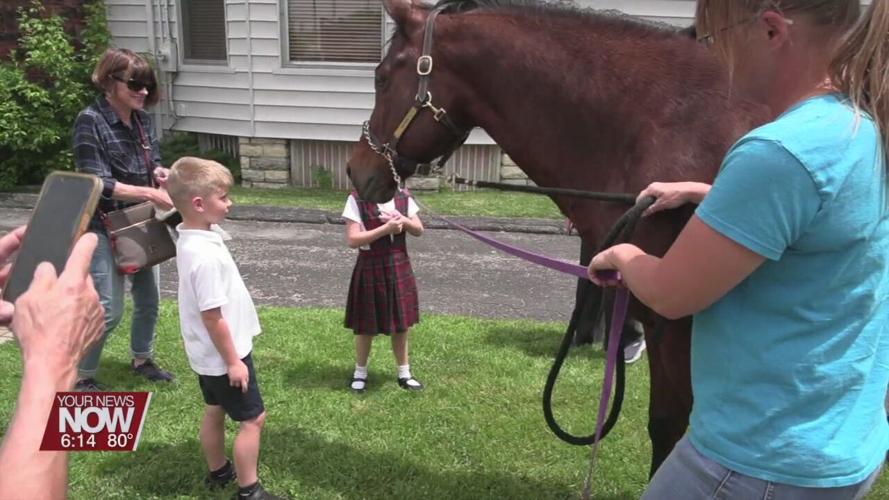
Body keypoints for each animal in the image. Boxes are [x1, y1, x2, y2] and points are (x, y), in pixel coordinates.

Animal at [346, 0, 769, 476]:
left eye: (382, 77)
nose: (356, 170)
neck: (674, 127)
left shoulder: (680, 326)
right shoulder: (660, 323)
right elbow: (665, 423)